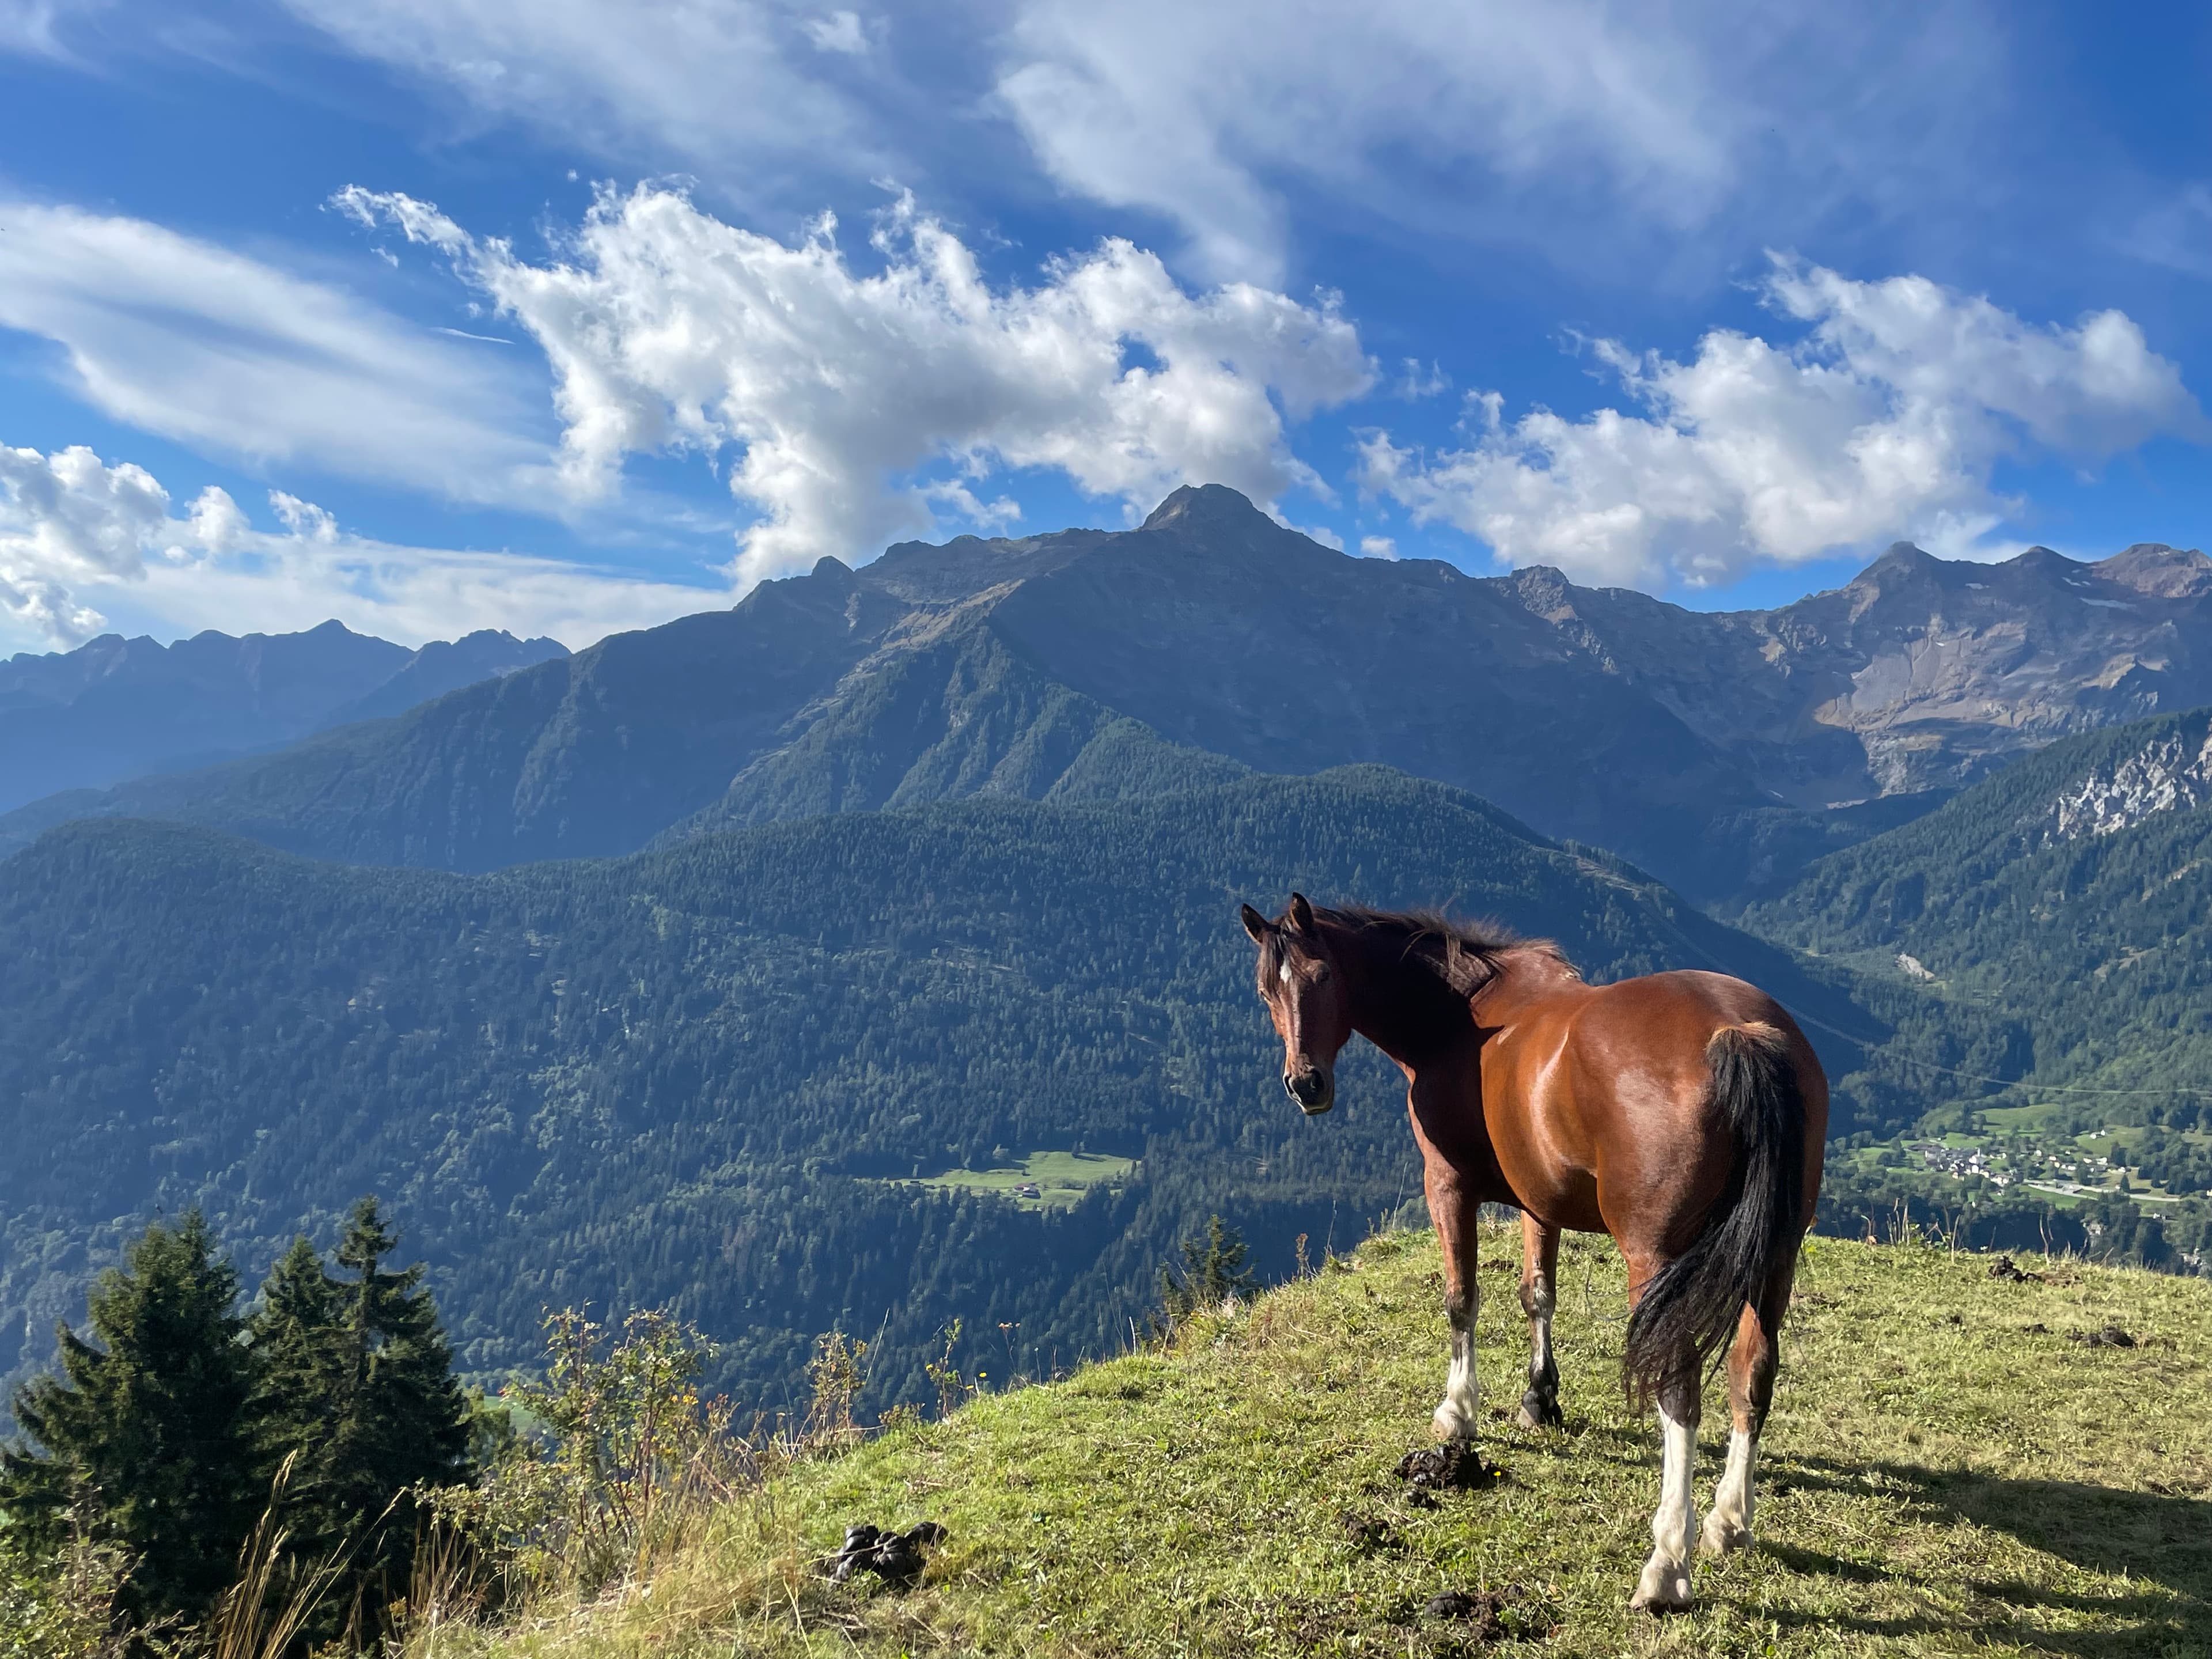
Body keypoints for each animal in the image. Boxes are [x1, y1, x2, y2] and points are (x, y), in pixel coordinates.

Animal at [1239, 894, 1827, 1612]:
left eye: (1321, 977)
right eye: (1267, 990)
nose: (1306, 1085)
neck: (1463, 1022)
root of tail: (1734, 1033)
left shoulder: (1448, 1185)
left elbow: (1462, 1299)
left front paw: (1458, 1411)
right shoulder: (1537, 1199)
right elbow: (1537, 1293)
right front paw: (1539, 1398)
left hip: (1656, 1262)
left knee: (1680, 1390)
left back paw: (1667, 1563)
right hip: (1774, 1257)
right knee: (1754, 1373)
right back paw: (1729, 1522)